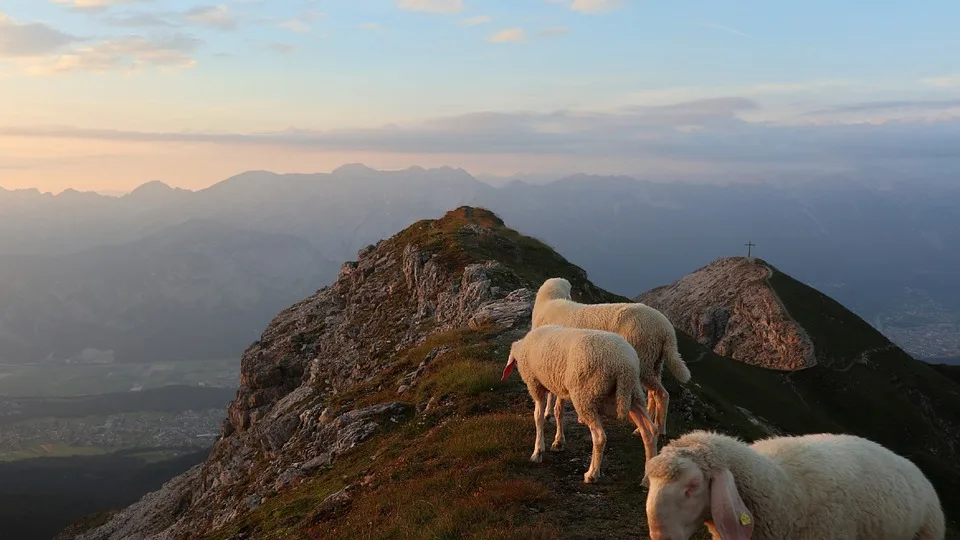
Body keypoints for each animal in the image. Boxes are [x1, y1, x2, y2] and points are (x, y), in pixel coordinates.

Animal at [502, 322, 660, 484]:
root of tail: (624, 366)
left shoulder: (535, 385)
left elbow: (538, 417)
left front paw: (537, 451)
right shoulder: (560, 384)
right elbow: (559, 411)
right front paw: (558, 441)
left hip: (586, 396)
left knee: (599, 437)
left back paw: (592, 474)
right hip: (633, 394)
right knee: (650, 431)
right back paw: (647, 478)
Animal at [532, 276, 688, 440]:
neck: (549, 303)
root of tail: (667, 330)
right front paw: (548, 412)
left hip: (644, 357)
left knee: (662, 394)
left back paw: (660, 429)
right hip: (654, 361)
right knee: (653, 394)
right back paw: (644, 428)